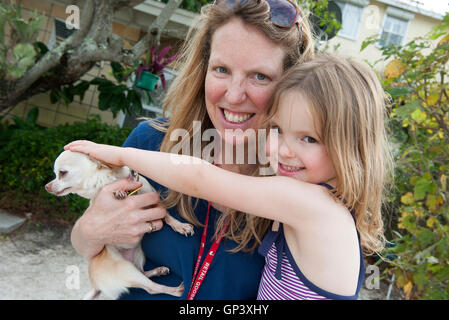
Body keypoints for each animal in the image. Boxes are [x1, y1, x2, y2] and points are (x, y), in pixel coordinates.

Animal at [45, 151, 192, 300]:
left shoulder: (153, 198)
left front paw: (179, 226)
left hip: (138, 256)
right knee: (152, 288)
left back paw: (158, 271)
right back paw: (177, 290)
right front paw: (119, 191)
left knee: (144, 274)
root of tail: (96, 285)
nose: (47, 186)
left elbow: (166, 214)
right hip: (127, 270)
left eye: (62, 173)